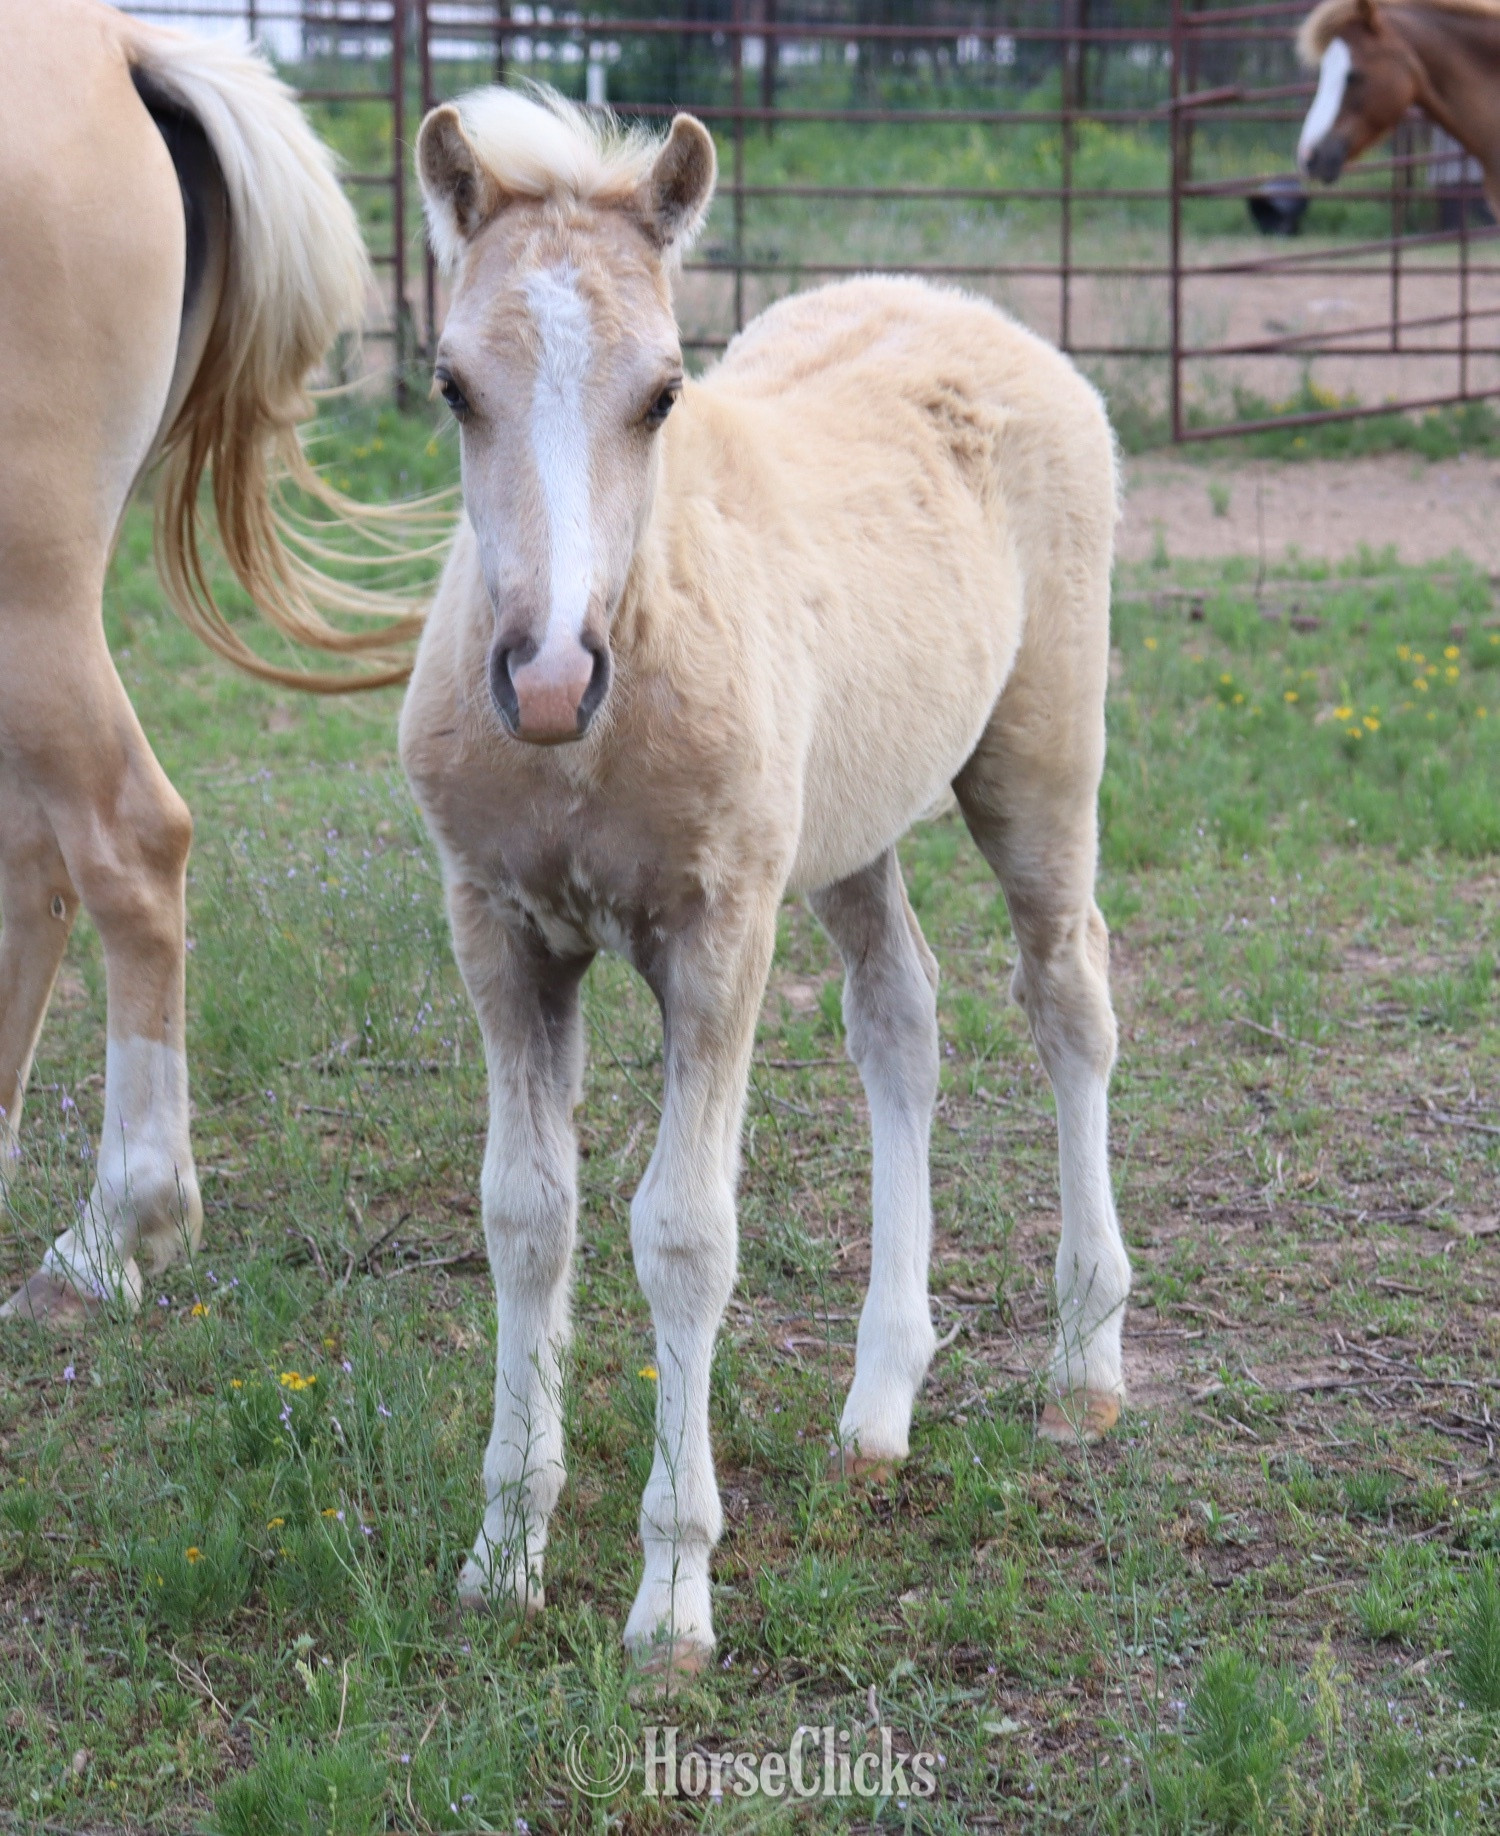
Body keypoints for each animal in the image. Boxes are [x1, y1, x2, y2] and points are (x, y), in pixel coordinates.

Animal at [400, 84, 1132, 1674]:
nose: (547, 681)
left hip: (1039, 768)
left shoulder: (717, 933)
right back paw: (879, 1406)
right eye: (451, 386)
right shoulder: (500, 932)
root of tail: (980, 318)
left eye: (664, 393)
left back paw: (1085, 1366)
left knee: (1069, 1003)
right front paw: (503, 1554)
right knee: (901, 1020)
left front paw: (672, 1601)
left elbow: (684, 1236)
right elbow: (526, 1217)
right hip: (850, 828)